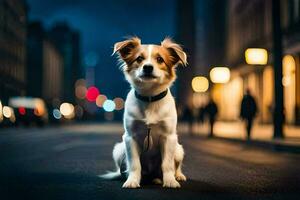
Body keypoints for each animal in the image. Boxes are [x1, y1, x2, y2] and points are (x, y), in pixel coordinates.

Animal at [102, 36, 189, 188]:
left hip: (178, 149)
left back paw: (176, 176)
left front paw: (170, 181)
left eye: (160, 59)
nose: (147, 67)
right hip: (119, 150)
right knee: (125, 169)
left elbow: (167, 164)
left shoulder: (169, 137)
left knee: (175, 166)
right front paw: (132, 180)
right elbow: (134, 164)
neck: (150, 97)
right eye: (139, 58)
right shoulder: (130, 138)